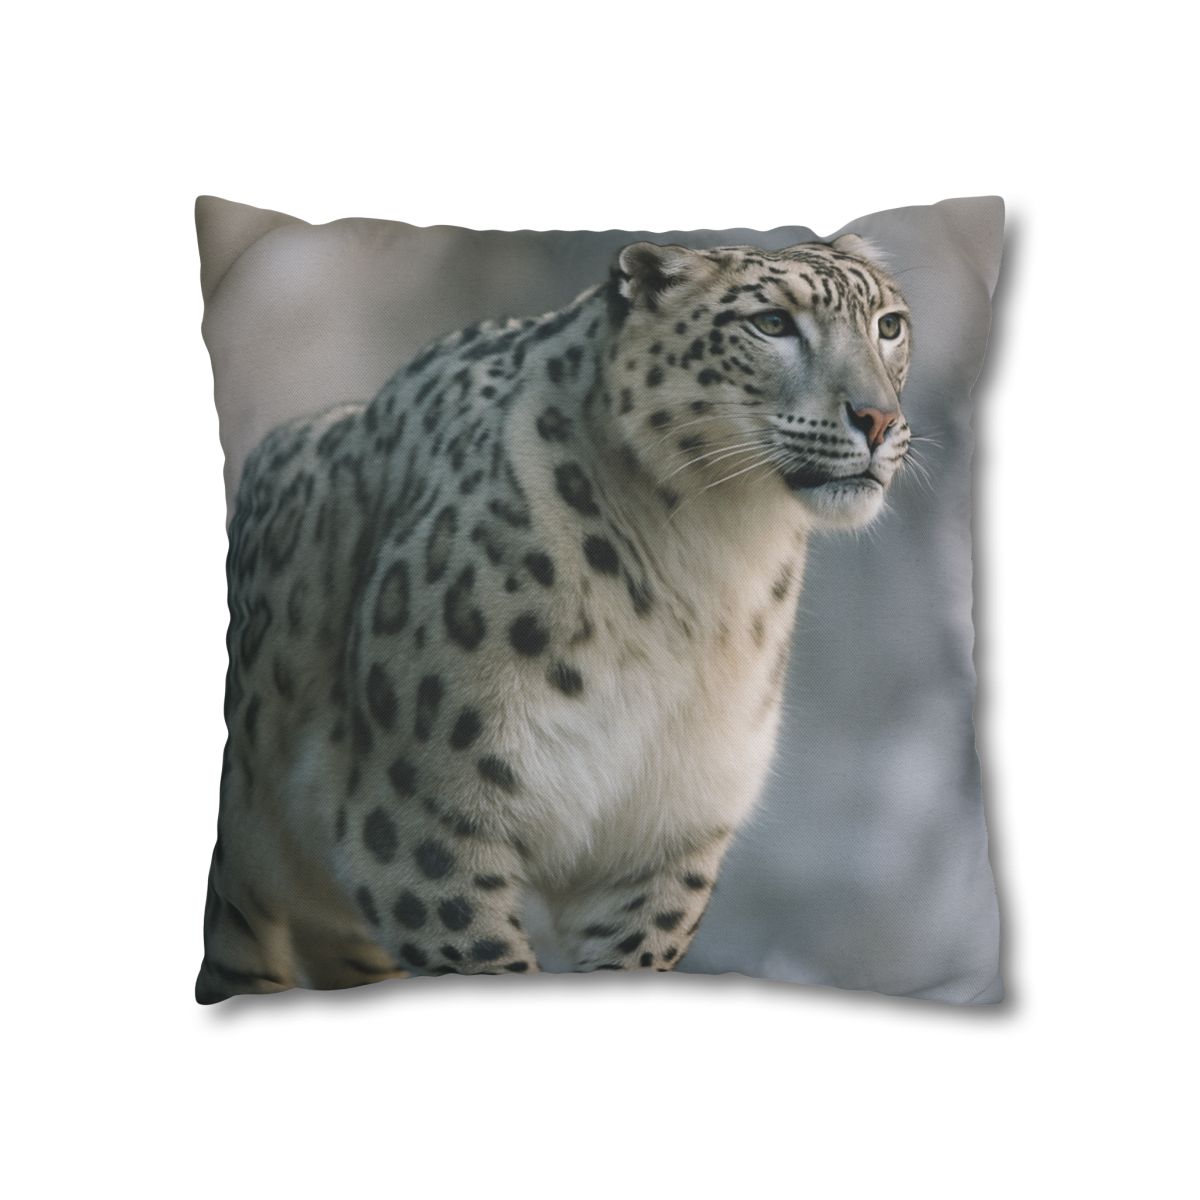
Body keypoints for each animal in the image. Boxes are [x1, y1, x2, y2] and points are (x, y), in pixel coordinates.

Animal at [197, 234, 913, 1002]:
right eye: (771, 323)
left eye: (889, 325)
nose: (878, 419)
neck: (713, 563)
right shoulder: (422, 822)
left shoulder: (664, 835)